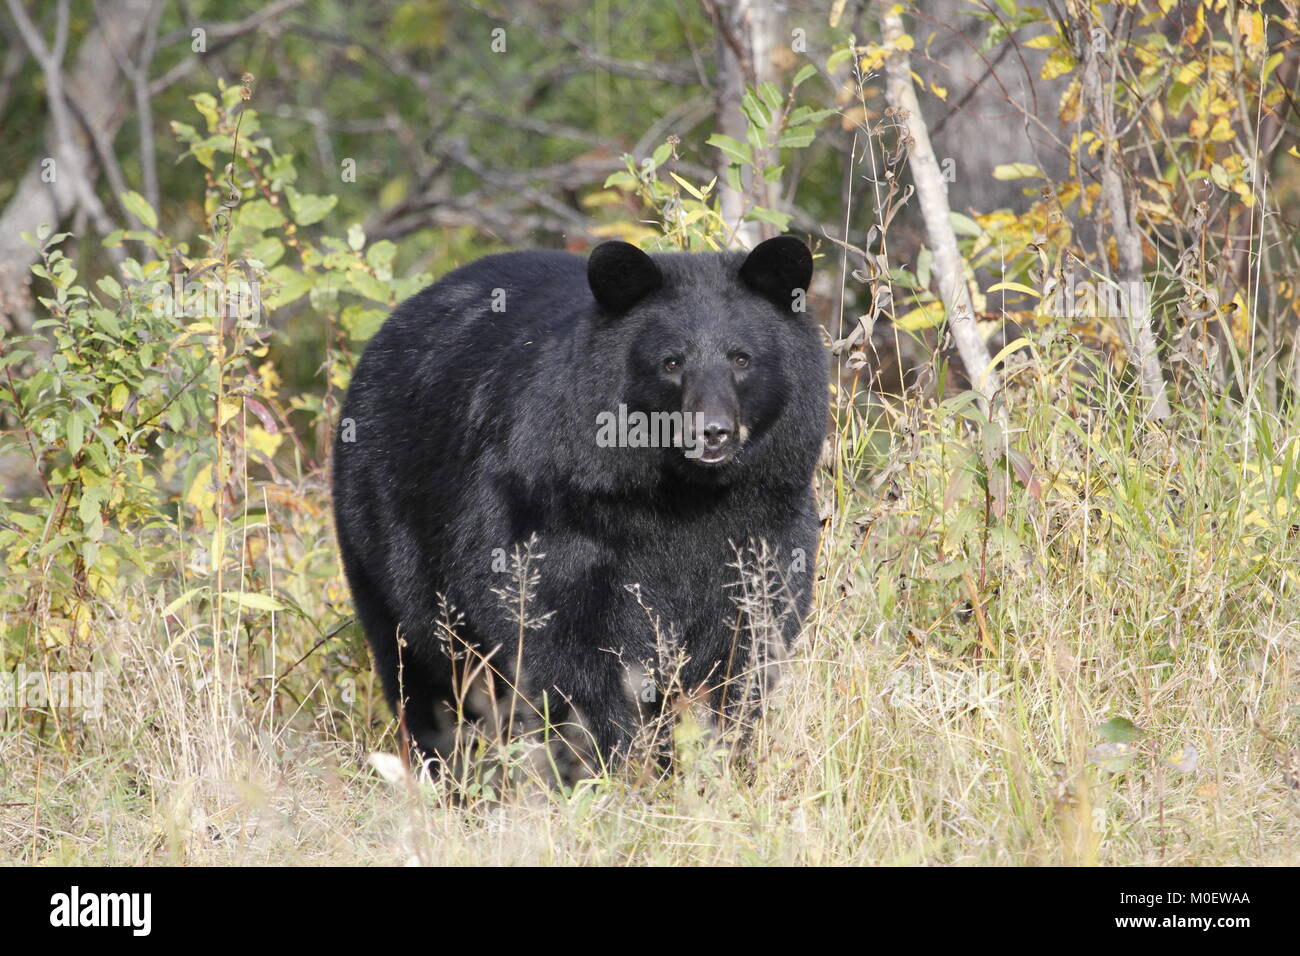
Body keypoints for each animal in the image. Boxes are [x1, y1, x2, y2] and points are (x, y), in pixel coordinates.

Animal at [330, 235, 826, 775]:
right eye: (671, 362)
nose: (711, 431)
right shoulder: (554, 513)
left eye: (742, 359)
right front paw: (604, 765)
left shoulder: (765, 518)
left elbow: (747, 643)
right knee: (418, 671)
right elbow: (567, 647)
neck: (681, 494)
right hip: (382, 540)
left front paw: (715, 758)